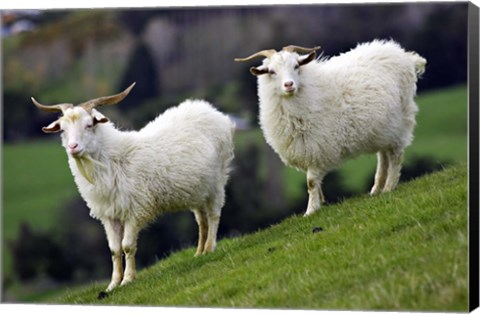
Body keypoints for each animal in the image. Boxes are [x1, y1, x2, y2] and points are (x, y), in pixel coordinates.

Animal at [31, 83, 235, 292]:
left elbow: (127, 245)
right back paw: (199, 253)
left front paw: (128, 279)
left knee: (214, 215)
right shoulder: (109, 214)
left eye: (88, 125)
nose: (73, 147)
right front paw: (113, 285)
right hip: (197, 190)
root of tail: (210, 110)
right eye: (63, 129)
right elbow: (114, 250)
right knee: (202, 220)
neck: (113, 159)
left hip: (217, 180)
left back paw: (210, 248)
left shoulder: (135, 209)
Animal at [234, 39, 426, 216]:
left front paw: (311, 210)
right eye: (271, 71)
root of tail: (403, 55)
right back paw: (376, 188)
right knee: (384, 156)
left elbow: (311, 182)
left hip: (400, 120)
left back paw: (388, 187)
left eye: (296, 66)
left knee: (395, 156)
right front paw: (320, 202)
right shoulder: (308, 149)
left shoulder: (316, 145)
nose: (289, 85)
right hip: (383, 128)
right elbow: (314, 183)